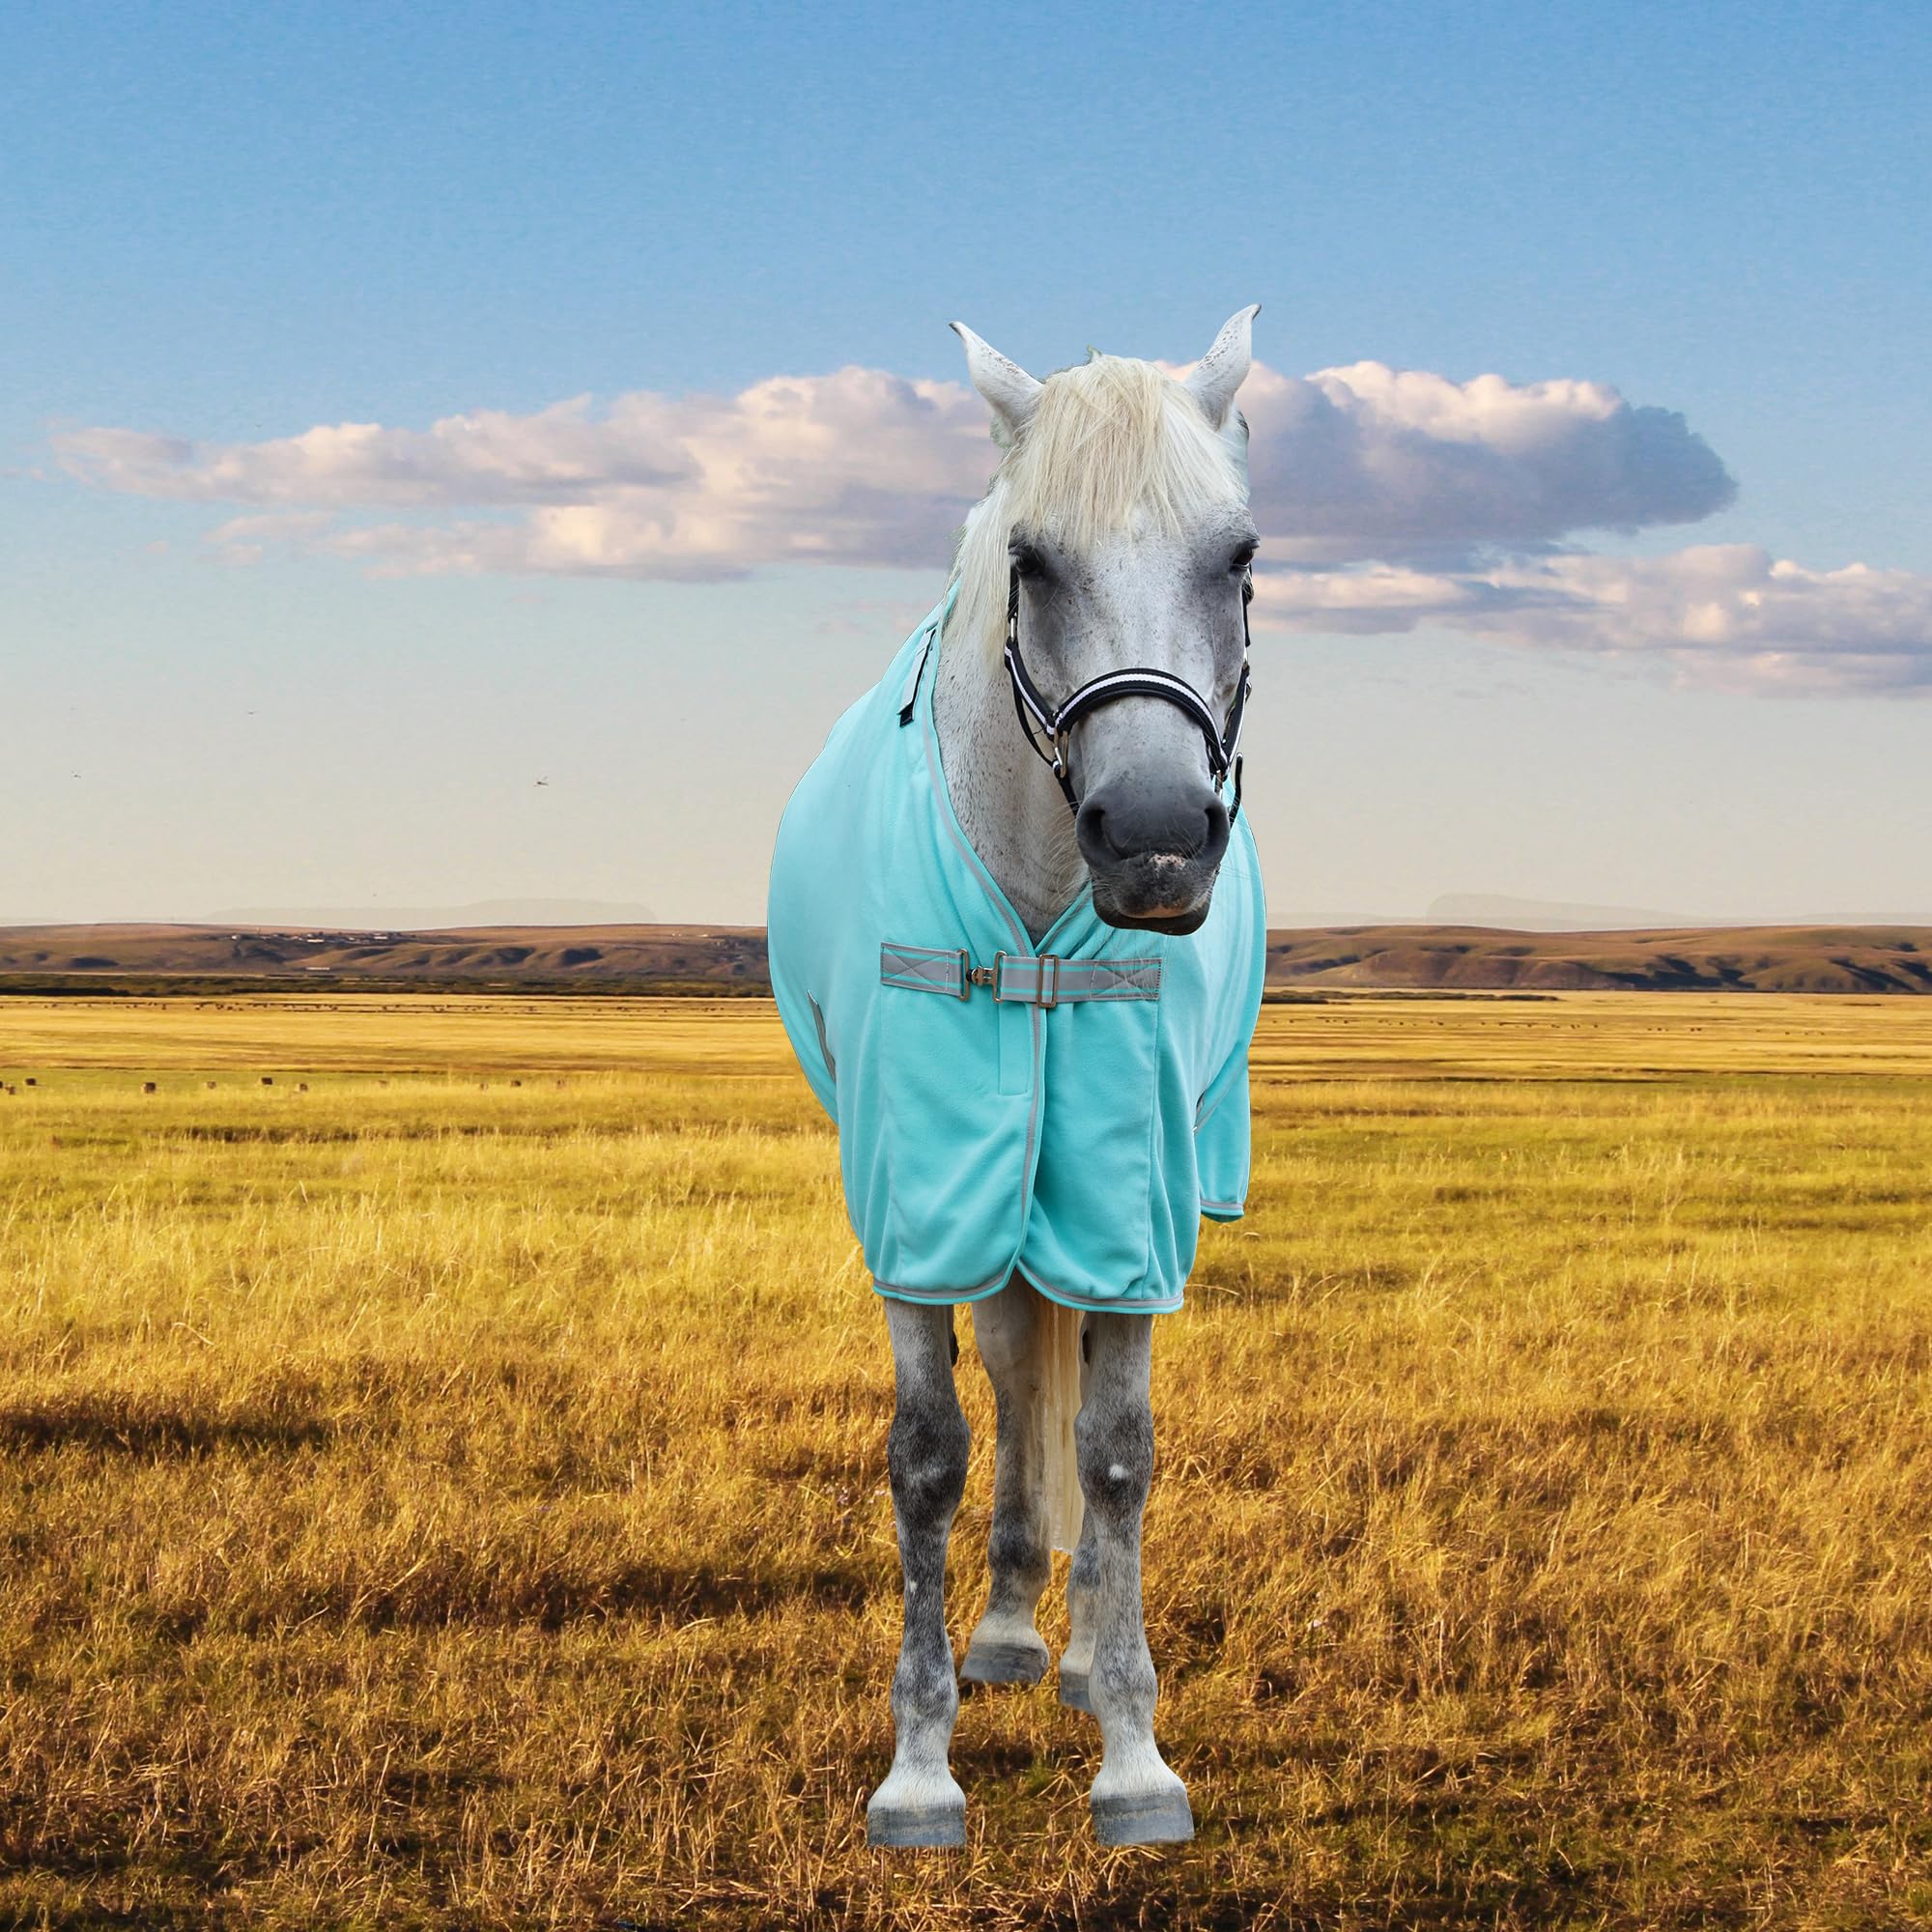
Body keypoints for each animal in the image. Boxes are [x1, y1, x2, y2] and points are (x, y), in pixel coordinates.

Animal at [767, 308, 1266, 1848]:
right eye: (1033, 560)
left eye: (1239, 556)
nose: (1155, 838)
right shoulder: (919, 1196)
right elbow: (929, 1449)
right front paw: (920, 1768)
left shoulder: (1131, 1206)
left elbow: (1117, 1448)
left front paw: (1135, 1752)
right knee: (1006, 1364)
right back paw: (1004, 1633)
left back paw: (1087, 1646)